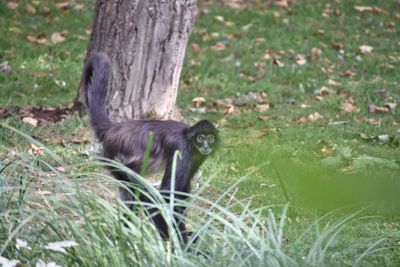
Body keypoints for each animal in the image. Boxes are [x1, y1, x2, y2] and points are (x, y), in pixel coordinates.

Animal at [82, 52, 219, 243]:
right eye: (200, 138)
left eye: (210, 139)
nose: (205, 145)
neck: (188, 136)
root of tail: (114, 130)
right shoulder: (182, 148)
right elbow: (167, 195)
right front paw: (184, 243)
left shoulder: (196, 157)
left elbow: (182, 192)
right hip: (118, 162)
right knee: (145, 196)